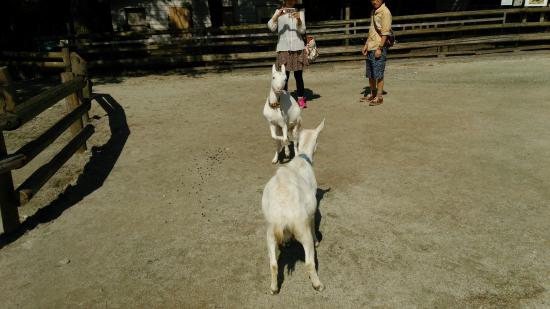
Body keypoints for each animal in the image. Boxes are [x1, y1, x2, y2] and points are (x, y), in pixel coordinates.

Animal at [260, 118, 326, 294]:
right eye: (318, 140)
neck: (302, 159)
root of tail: (283, 215)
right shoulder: (311, 211)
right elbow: (313, 225)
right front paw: (317, 240)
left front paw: (288, 240)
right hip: (302, 230)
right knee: (309, 262)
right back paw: (318, 285)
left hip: (270, 233)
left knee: (273, 264)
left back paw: (274, 288)